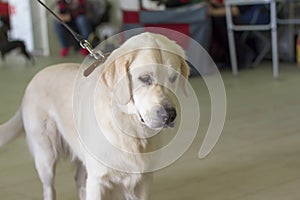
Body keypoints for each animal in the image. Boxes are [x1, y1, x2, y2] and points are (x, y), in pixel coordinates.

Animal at [0, 32, 189, 199]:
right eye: (144, 78)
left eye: (173, 78)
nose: (170, 116)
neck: (130, 128)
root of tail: (34, 79)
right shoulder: (98, 180)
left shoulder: (145, 180)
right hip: (46, 156)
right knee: (49, 188)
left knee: (79, 180)